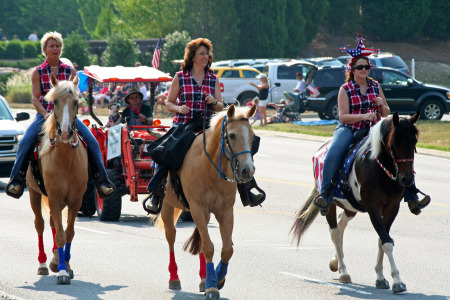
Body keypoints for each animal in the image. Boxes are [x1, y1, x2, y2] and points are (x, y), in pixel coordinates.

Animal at [25, 72, 88, 284]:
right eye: (55, 102)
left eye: (76, 102)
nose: (66, 132)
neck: (66, 159)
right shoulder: (54, 197)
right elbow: (60, 234)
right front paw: (61, 271)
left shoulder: (76, 200)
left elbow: (68, 233)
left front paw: (65, 265)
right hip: (34, 195)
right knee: (40, 225)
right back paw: (44, 264)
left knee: (53, 224)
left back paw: (54, 260)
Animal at [156, 104, 256, 298]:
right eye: (232, 135)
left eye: (253, 135)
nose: (248, 170)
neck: (209, 168)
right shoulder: (198, 208)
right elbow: (209, 247)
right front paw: (212, 286)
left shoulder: (225, 211)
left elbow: (227, 249)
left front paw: (217, 279)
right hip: (167, 206)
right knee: (171, 236)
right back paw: (174, 278)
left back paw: (203, 278)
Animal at [292, 112, 422, 292]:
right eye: (396, 142)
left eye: (414, 141)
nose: (407, 179)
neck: (379, 169)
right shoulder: (373, 208)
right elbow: (387, 242)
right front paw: (397, 281)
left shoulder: (392, 208)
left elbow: (383, 239)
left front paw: (381, 278)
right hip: (330, 204)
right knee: (335, 232)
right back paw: (343, 271)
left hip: (350, 206)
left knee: (341, 223)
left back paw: (336, 263)